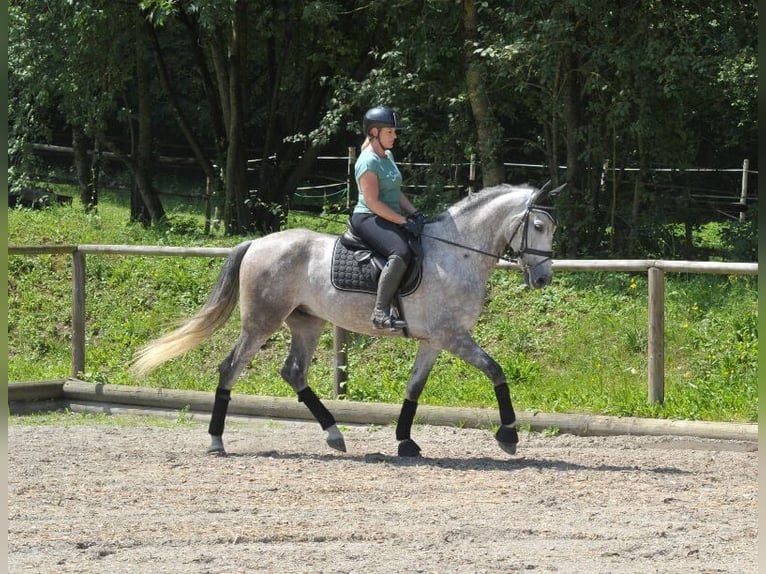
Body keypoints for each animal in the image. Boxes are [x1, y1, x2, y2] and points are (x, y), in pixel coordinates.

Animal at [134, 183, 560, 460]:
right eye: (539, 226)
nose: (542, 279)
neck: (457, 254)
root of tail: (257, 242)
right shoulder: (453, 336)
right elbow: (496, 370)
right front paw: (508, 435)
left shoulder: (433, 341)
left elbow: (414, 388)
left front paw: (405, 442)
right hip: (261, 322)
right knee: (230, 368)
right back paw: (216, 441)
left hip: (307, 324)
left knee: (294, 373)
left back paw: (334, 435)